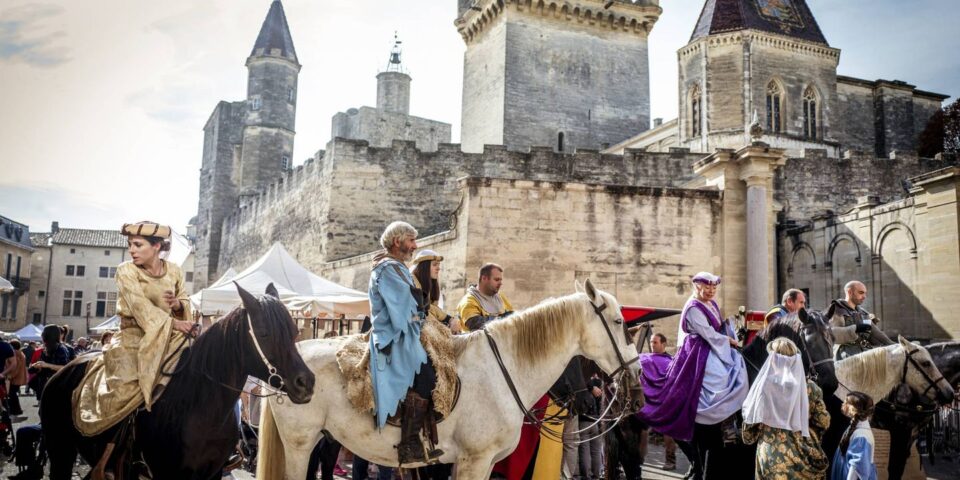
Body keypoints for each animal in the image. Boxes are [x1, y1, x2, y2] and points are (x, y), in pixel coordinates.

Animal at [39, 284, 316, 480]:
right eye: (264, 333)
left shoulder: (213, 474)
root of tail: (61, 373)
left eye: (294, 331)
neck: (199, 406)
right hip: (61, 450)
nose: (306, 382)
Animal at [258, 280, 640, 478]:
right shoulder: (475, 459)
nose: (635, 379)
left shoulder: (480, 463)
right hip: (299, 443)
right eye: (620, 322)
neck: (503, 371)